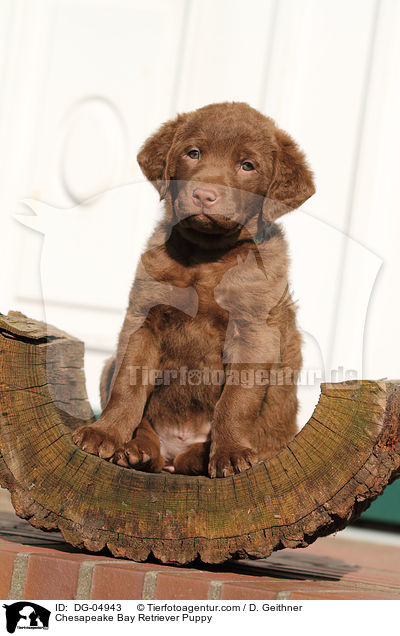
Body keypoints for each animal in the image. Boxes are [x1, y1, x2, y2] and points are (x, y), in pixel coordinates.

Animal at [72, 102, 316, 474]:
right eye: (193, 153)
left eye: (247, 165)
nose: (203, 195)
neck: (207, 257)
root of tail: (175, 452)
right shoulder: (144, 319)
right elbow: (128, 384)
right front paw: (105, 433)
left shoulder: (255, 331)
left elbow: (236, 399)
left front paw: (230, 453)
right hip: (107, 365)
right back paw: (138, 449)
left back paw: (200, 455)